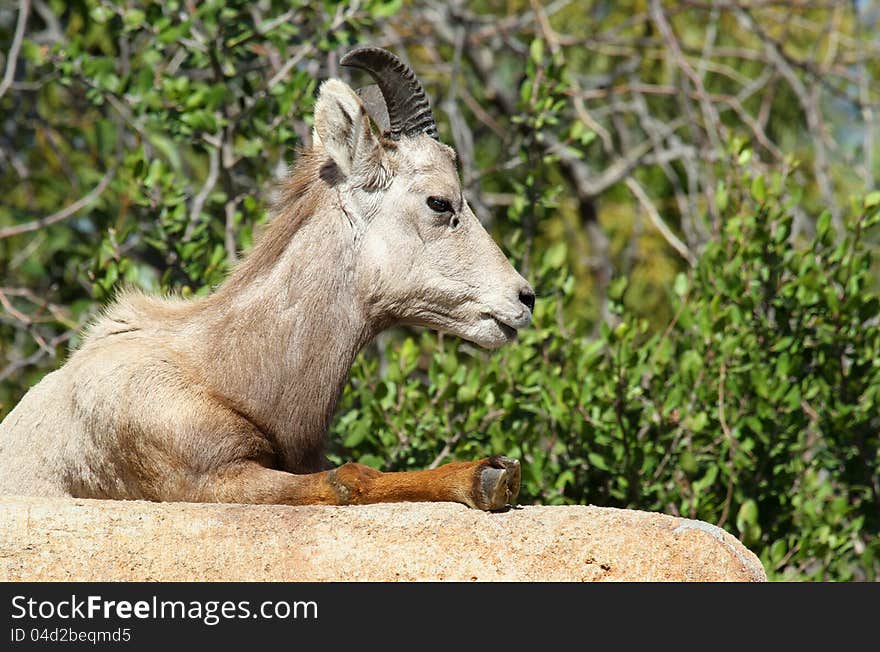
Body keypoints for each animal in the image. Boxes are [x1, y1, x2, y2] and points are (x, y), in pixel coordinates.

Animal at [0, 48, 532, 512]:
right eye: (439, 202)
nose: (523, 298)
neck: (222, 373)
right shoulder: (211, 479)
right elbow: (349, 479)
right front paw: (488, 475)